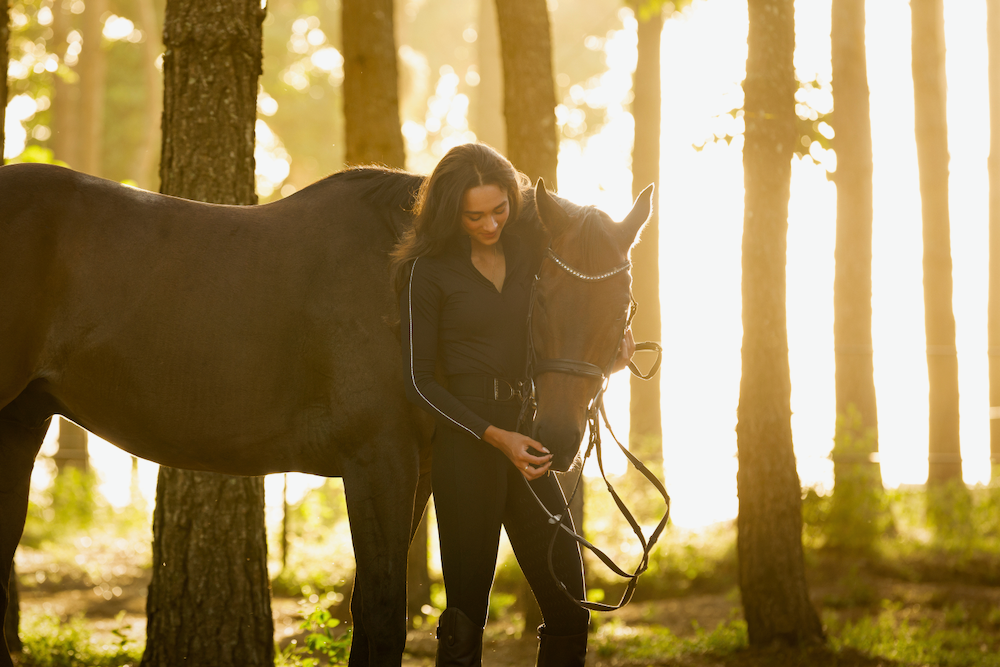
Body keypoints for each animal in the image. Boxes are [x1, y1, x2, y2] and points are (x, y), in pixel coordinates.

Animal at [0, 161, 651, 666]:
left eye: (622, 303)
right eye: (541, 294)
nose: (555, 440)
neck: (398, 280)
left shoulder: (417, 471)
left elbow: (370, 611)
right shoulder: (378, 463)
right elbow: (384, 614)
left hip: (21, 425)